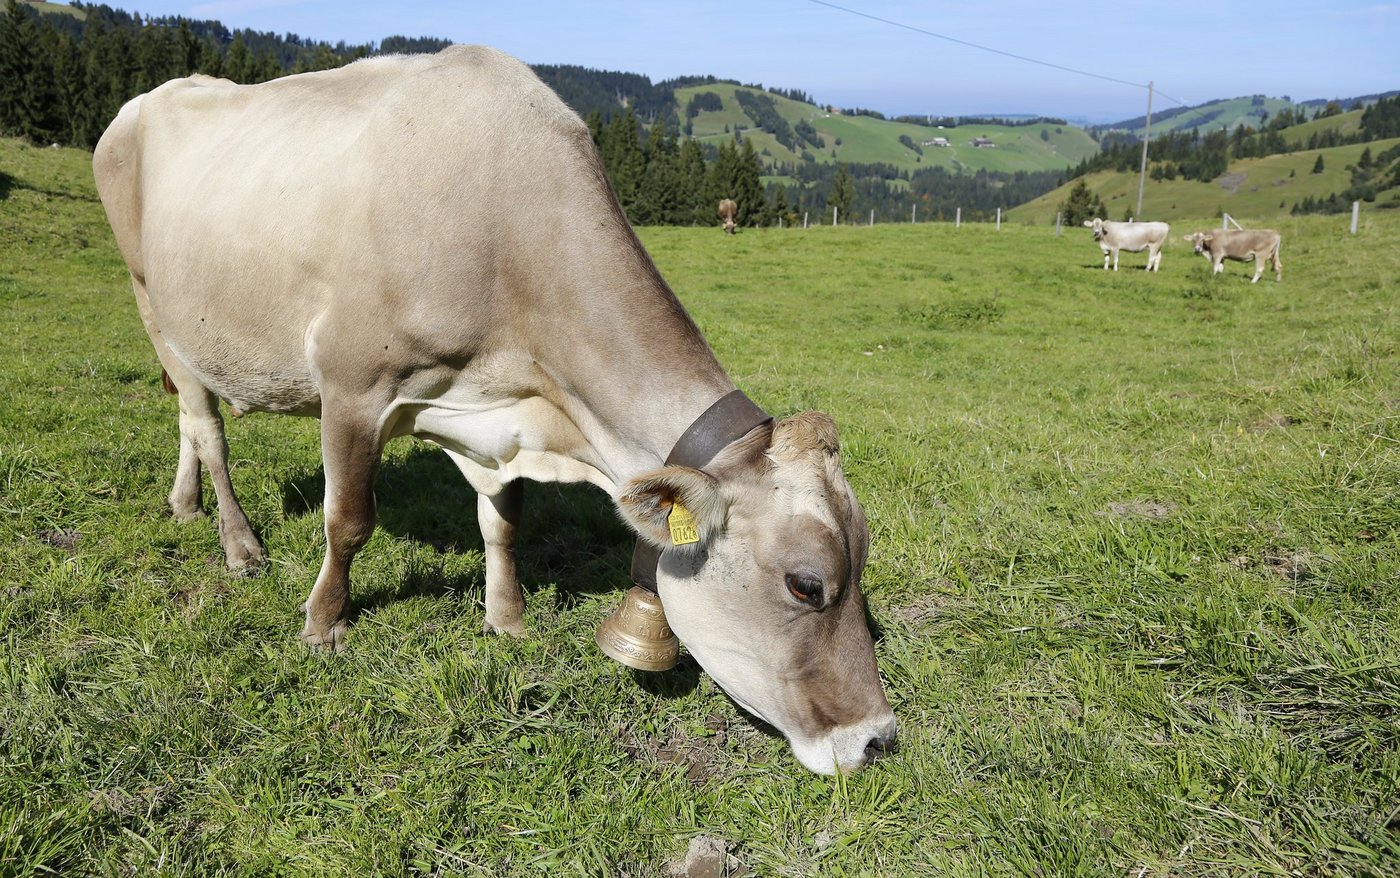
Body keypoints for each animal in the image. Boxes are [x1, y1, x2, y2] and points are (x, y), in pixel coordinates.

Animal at [92, 46, 896, 775]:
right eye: (806, 584)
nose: (878, 739)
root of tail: (150, 97)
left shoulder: (495, 417)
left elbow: (504, 523)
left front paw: (506, 619)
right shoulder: (353, 384)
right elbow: (348, 521)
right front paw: (323, 623)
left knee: (187, 424)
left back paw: (185, 504)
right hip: (154, 306)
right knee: (207, 427)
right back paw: (238, 544)